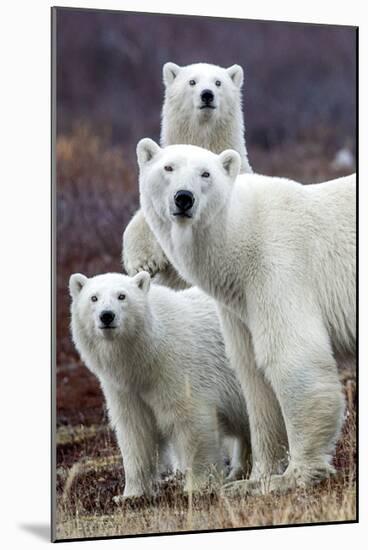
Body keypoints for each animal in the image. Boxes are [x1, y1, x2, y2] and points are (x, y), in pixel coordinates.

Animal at [137, 137, 356, 496]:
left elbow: (291, 357)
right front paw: (253, 480)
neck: (238, 237)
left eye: (206, 173)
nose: (184, 198)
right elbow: (251, 372)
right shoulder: (238, 305)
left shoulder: (277, 266)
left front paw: (294, 476)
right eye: (168, 168)